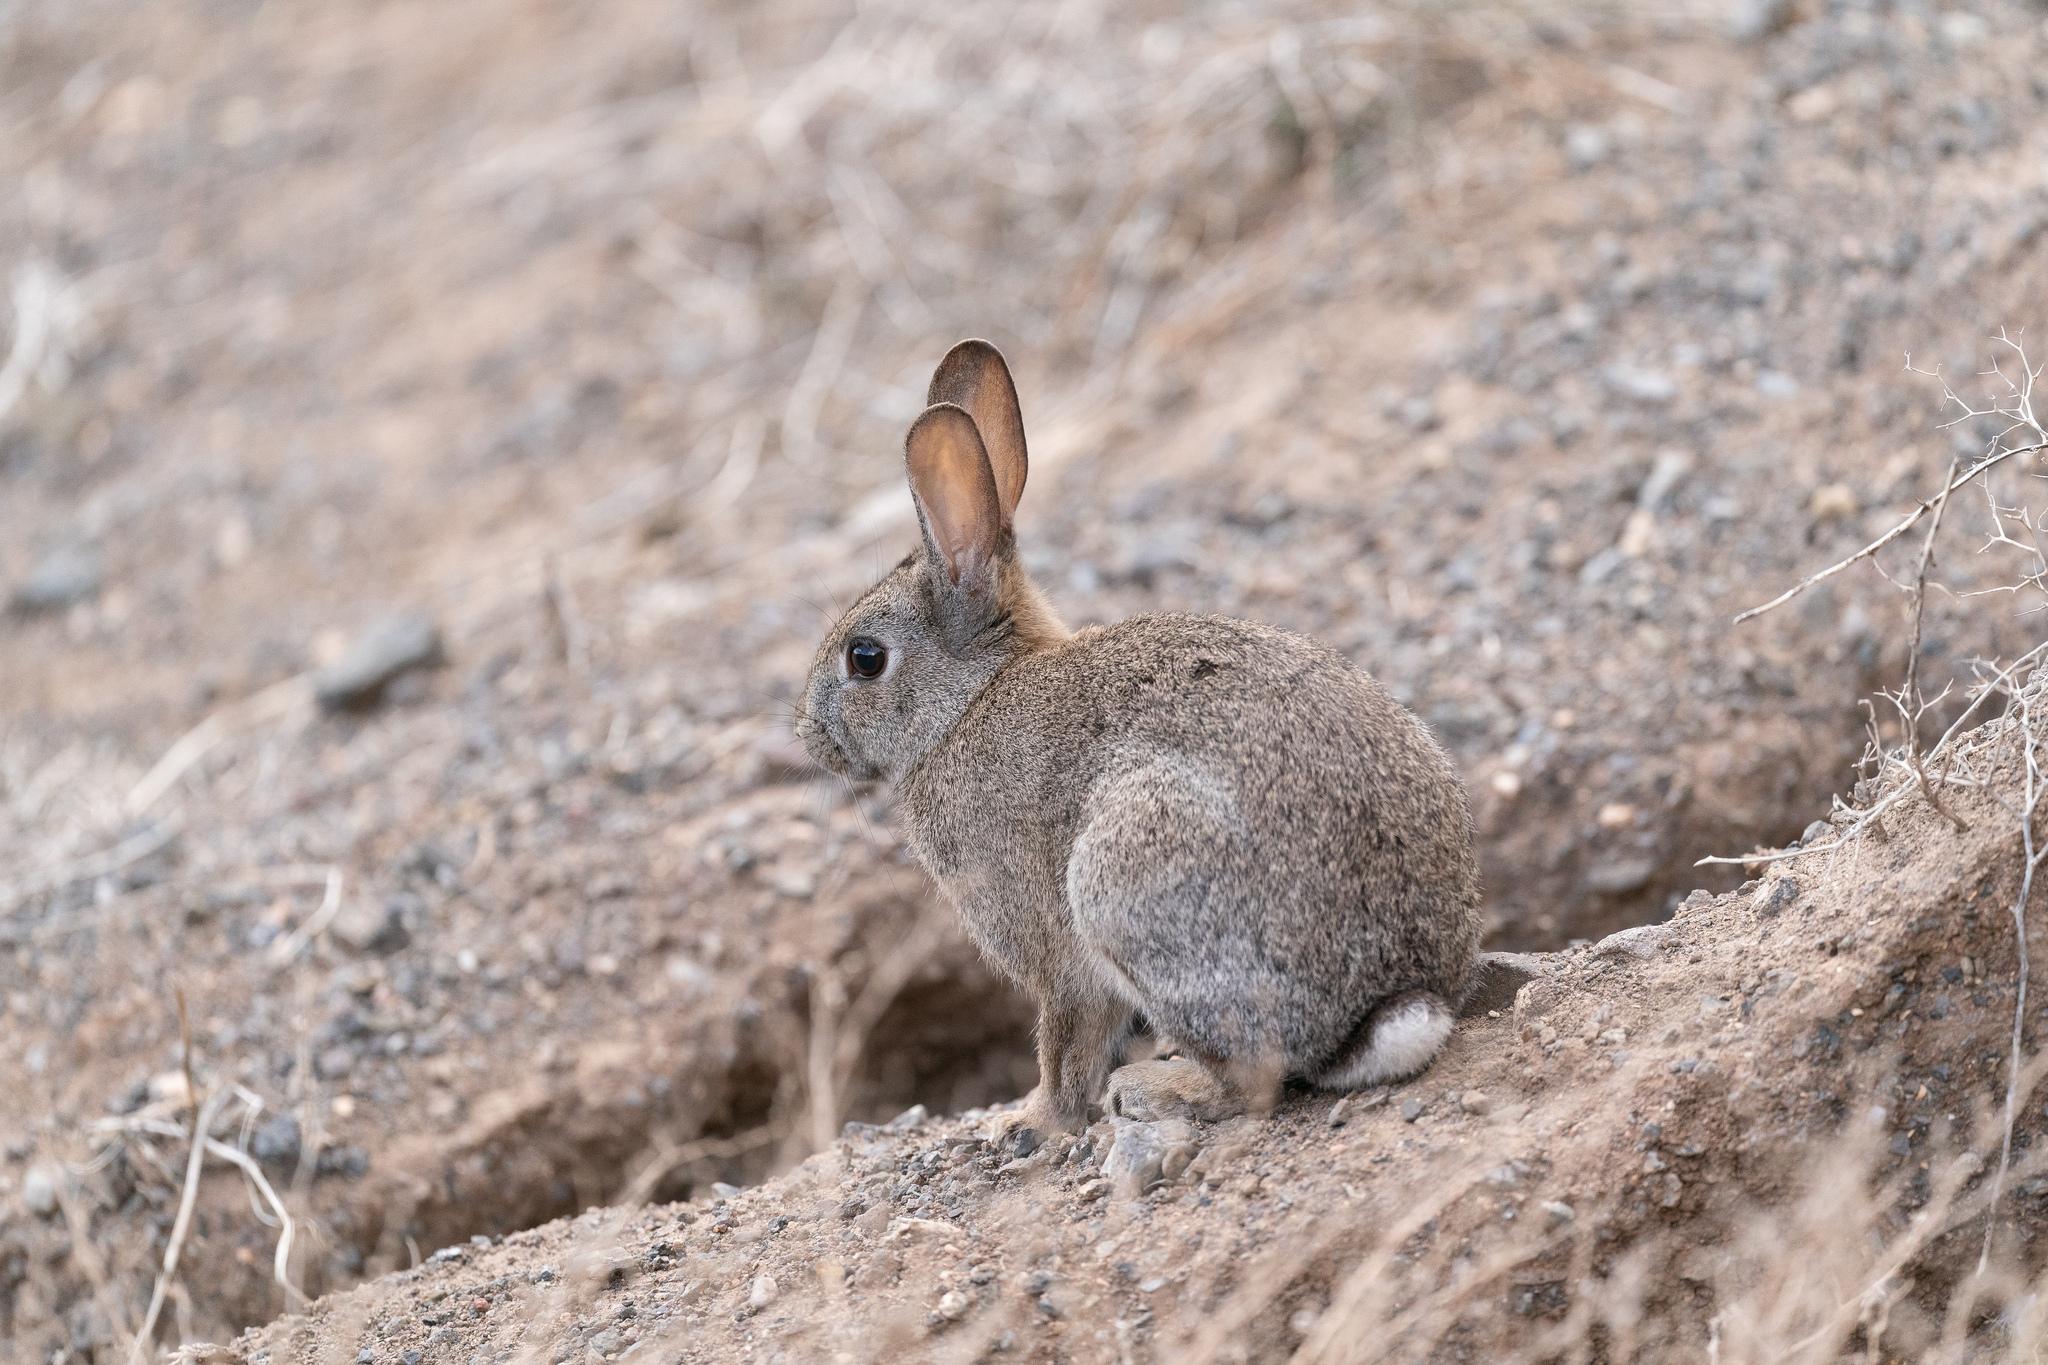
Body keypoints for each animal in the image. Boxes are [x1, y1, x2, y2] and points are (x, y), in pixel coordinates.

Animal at [795, 339, 1482, 1145]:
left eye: (865, 658)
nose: (809, 736)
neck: (968, 701)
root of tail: (1392, 1002)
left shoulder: (1049, 943)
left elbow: (1066, 1040)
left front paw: (1031, 1124)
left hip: (1125, 876)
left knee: (1253, 1079)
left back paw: (1166, 1093)